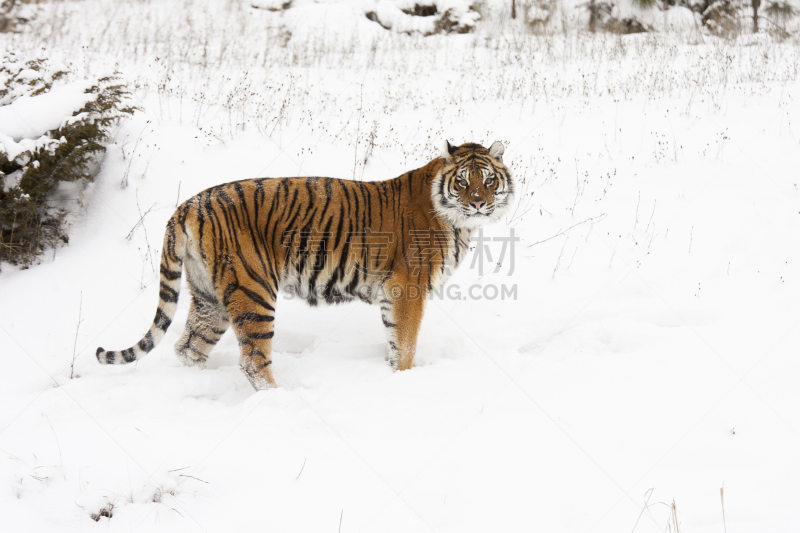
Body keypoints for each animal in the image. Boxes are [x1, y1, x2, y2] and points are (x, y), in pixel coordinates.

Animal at [98, 139, 512, 388]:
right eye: (463, 182)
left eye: (489, 180)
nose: (479, 202)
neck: (456, 219)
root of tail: (189, 204)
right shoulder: (407, 288)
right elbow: (406, 343)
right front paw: (404, 381)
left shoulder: (391, 294)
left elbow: (395, 341)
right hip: (253, 290)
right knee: (252, 361)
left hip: (207, 296)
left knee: (189, 346)